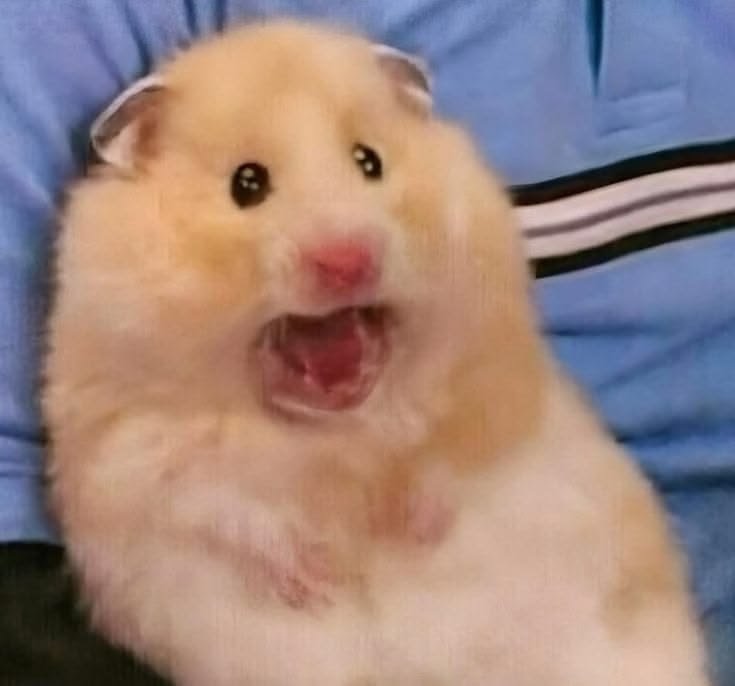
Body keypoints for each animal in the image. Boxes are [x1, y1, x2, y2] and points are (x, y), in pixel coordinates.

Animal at [43, 20, 711, 686]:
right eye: (246, 184)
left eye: (371, 162)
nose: (347, 259)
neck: (342, 436)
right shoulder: (131, 452)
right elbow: (221, 508)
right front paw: (317, 575)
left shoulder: (495, 380)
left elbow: (455, 457)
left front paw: (407, 531)